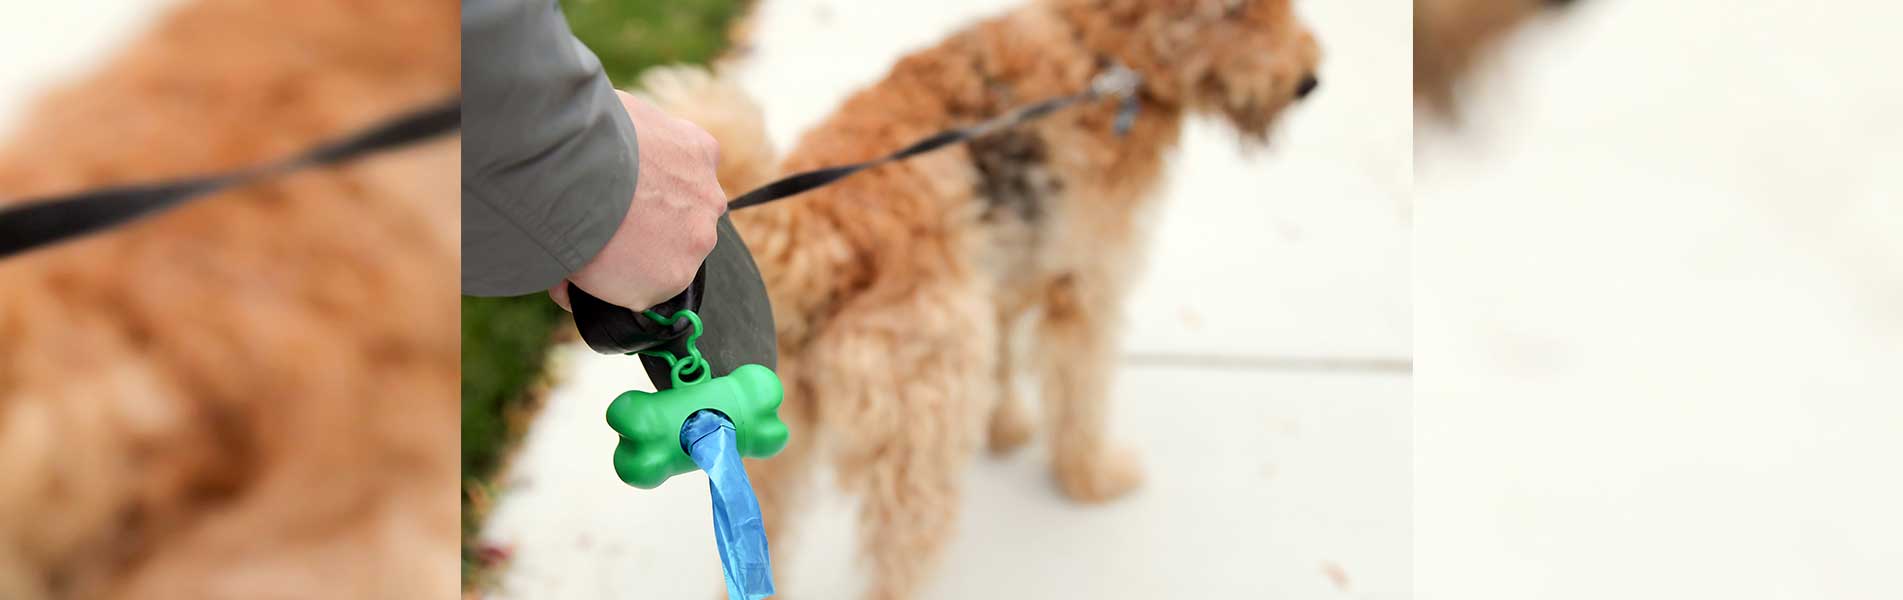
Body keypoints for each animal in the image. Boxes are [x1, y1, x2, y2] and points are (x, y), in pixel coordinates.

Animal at [639, 0, 1324, 598]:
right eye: (1234, 10)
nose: (1309, 82)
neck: (1098, 48)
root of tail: (820, 230)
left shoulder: (998, 284)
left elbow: (1005, 367)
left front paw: (1008, 430)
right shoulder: (1084, 289)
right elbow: (1080, 399)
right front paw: (1093, 478)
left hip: (771, 449)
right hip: (920, 445)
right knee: (896, 570)